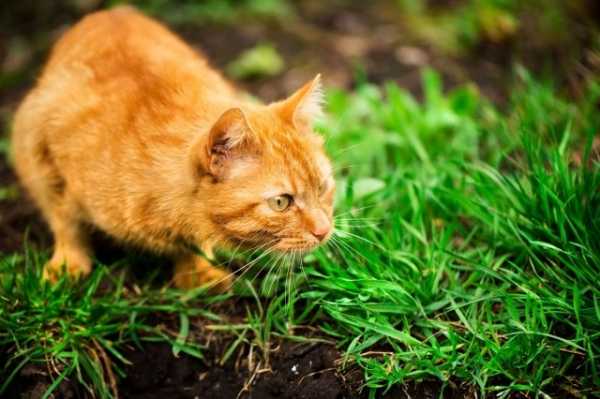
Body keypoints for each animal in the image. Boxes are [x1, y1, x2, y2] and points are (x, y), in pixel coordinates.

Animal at [11, 6, 336, 290]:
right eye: (281, 202)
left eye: (322, 188)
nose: (324, 231)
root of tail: (112, 11)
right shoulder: (43, 153)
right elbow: (66, 222)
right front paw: (69, 262)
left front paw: (195, 271)